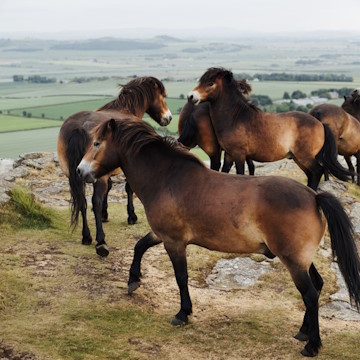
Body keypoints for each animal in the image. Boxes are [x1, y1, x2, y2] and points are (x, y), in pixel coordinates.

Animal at [57, 76, 172, 256]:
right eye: (163, 96)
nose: (169, 118)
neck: (126, 110)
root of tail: (79, 127)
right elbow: (128, 188)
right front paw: (131, 216)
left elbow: (110, 188)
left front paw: (105, 214)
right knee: (94, 201)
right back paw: (100, 242)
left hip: (74, 175)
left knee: (82, 202)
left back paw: (86, 236)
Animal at [77, 118, 360, 358]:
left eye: (97, 143)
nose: (80, 171)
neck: (166, 178)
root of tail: (314, 196)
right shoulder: (161, 234)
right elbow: (139, 247)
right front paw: (133, 280)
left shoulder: (174, 242)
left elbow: (181, 277)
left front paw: (183, 313)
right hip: (301, 260)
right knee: (318, 285)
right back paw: (303, 332)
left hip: (293, 261)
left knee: (310, 295)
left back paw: (312, 345)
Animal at [187, 68, 350, 191]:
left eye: (210, 83)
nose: (190, 96)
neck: (236, 117)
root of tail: (320, 124)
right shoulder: (228, 154)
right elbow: (224, 172)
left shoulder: (239, 154)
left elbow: (239, 173)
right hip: (298, 158)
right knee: (311, 174)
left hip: (305, 156)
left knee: (317, 171)